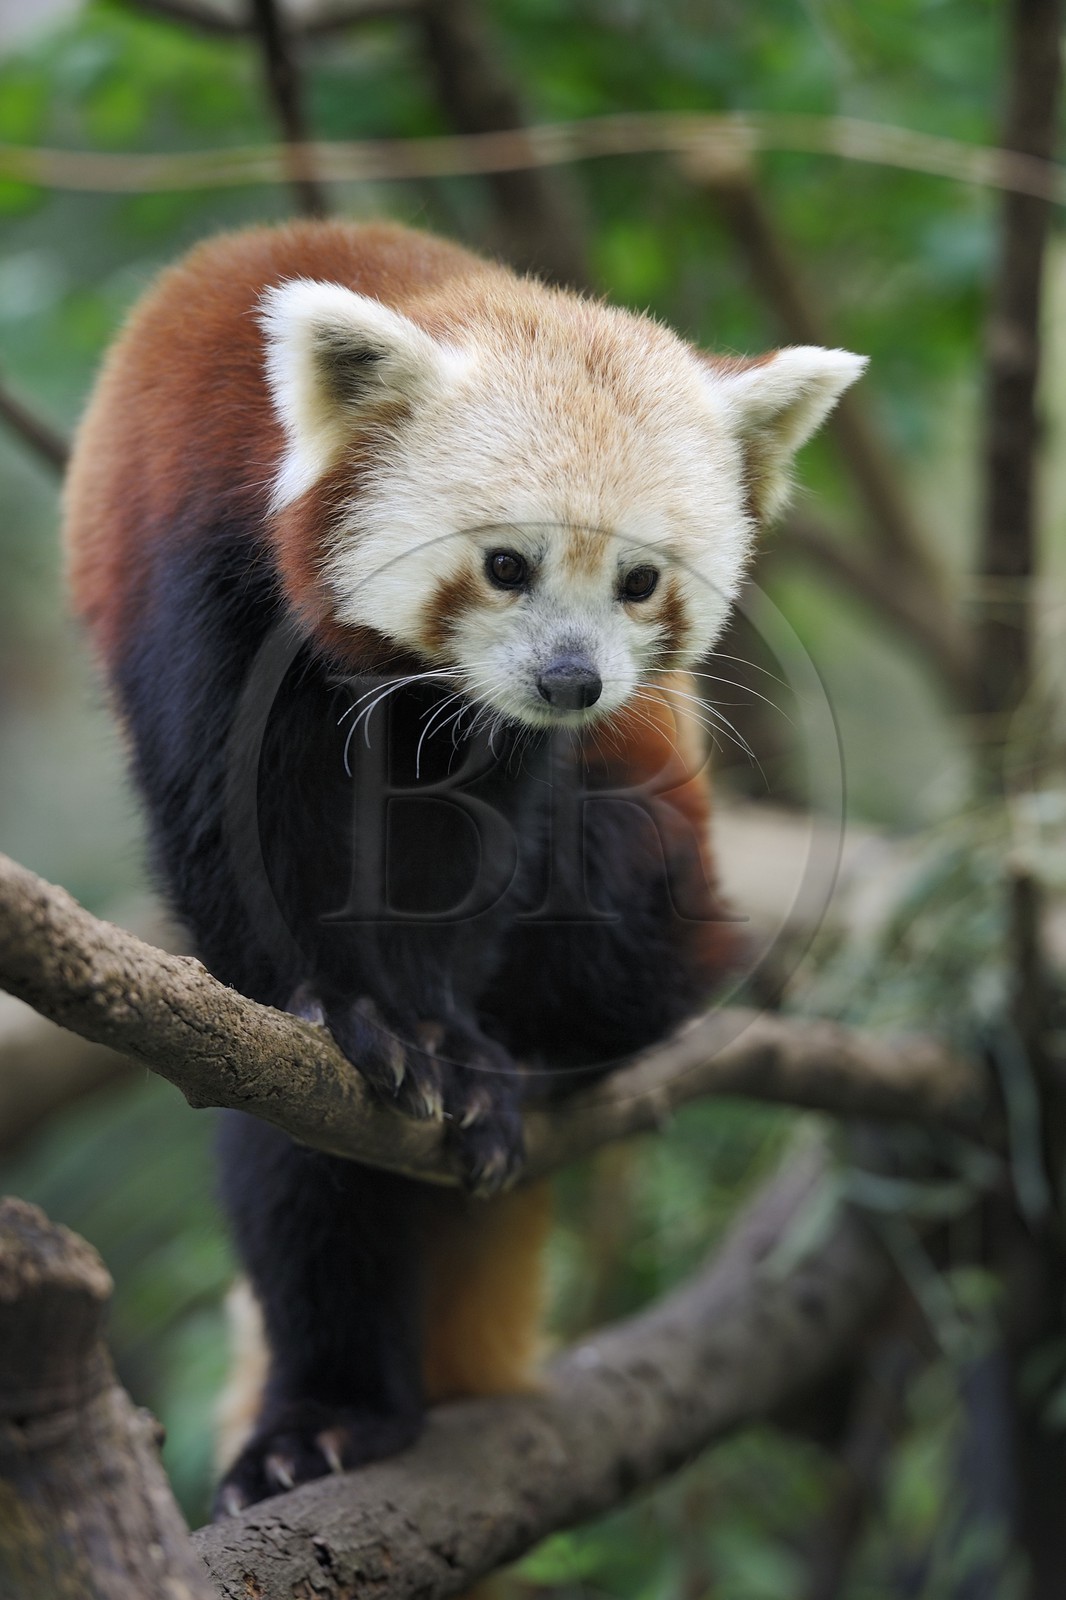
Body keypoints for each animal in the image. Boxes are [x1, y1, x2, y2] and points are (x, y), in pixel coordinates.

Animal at [63, 219, 864, 1514]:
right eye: (504, 565)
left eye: (639, 579)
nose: (571, 681)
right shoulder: (191, 567)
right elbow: (239, 842)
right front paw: (357, 1011)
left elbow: (475, 846)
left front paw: (451, 1043)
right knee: (287, 1171)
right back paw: (326, 1418)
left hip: (663, 859)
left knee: (619, 907)